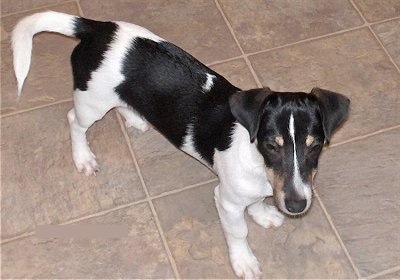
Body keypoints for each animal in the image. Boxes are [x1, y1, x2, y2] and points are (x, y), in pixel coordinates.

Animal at [11, 10, 350, 278]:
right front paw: (244, 261)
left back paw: (134, 118)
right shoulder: (226, 200)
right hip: (91, 102)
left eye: (315, 145)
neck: (260, 167)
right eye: (272, 145)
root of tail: (97, 29)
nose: (297, 206)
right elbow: (238, 231)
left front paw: (263, 213)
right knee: (74, 121)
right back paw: (83, 157)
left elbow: (255, 202)